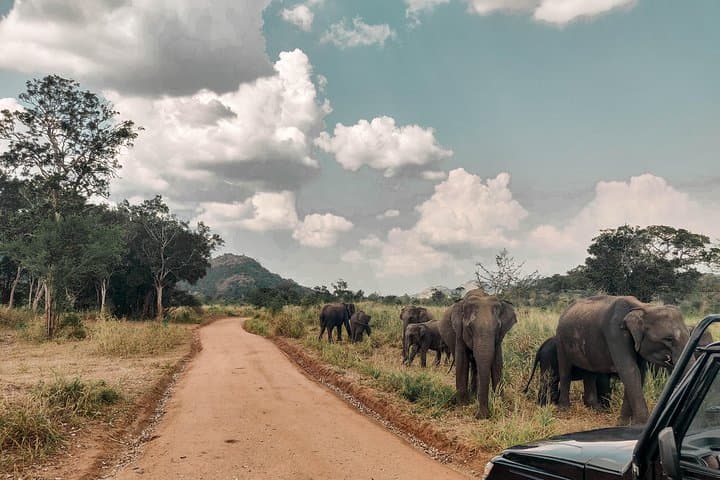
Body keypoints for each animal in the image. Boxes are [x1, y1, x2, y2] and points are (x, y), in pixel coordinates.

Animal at [447, 289, 517, 419]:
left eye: (498, 327)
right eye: (470, 327)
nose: (481, 416)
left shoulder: (498, 338)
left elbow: (497, 363)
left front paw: (500, 404)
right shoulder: (459, 332)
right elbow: (462, 362)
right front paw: (462, 406)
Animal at [555, 295, 689, 425]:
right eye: (668, 339)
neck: (643, 307)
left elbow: (638, 373)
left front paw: (624, 422)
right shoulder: (615, 334)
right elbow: (629, 370)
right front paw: (642, 424)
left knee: (590, 372)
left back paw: (595, 408)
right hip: (561, 341)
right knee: (565, 371)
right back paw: (564, 409)